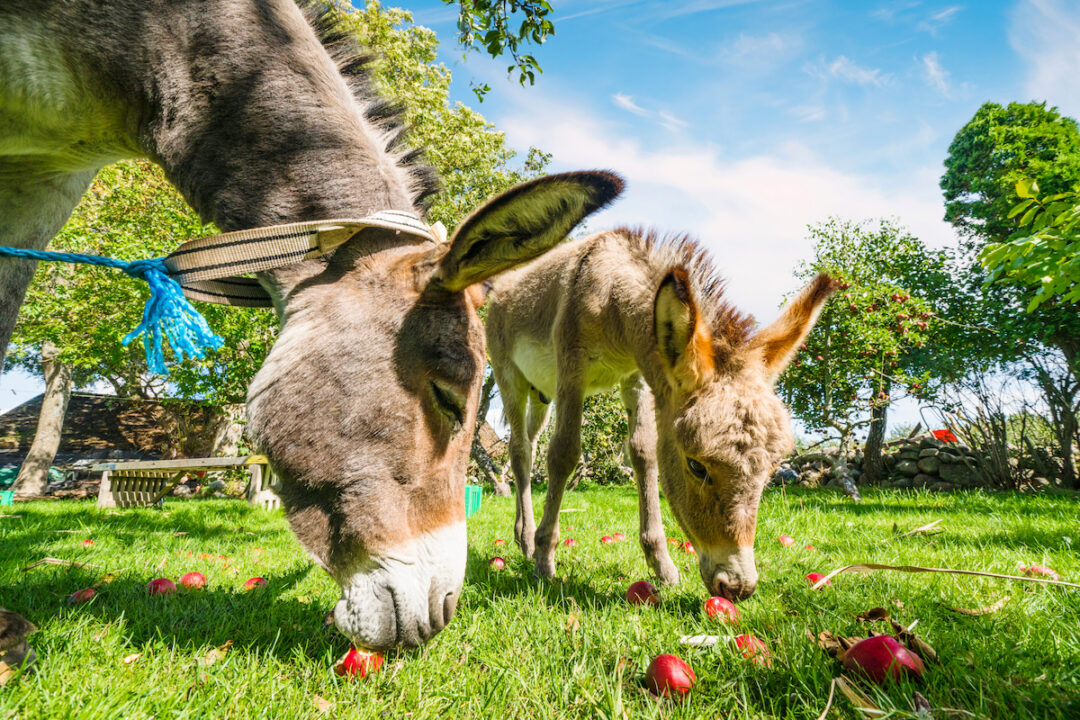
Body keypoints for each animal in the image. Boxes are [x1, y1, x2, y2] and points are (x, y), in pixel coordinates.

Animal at [485, 228, 835, 599]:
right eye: (696, 467)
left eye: (770, 470)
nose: (738, 587)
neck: (609, 289)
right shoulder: (572, 371)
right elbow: (564, 453)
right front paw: (544, 561)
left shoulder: (636, 378)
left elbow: (643, 453)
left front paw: (662, 566)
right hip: (510, 377)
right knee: (520, 452)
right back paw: (527, 540)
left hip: (542, 395)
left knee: (531, 443)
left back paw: (524, 536)